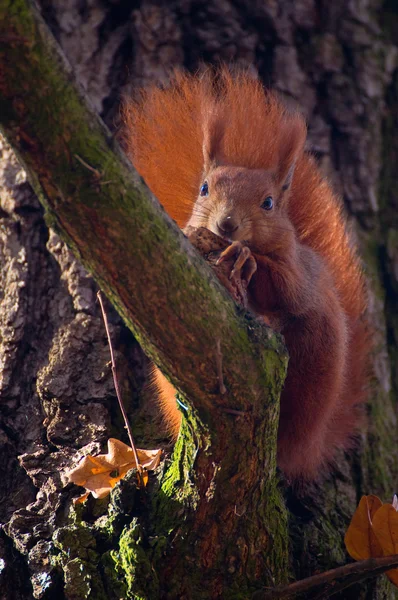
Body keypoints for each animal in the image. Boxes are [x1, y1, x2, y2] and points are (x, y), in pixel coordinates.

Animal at [125, 68, 370, 480]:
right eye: (204, 188)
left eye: (268, 203)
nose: (226, 225)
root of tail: (309, 448)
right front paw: (205, 243)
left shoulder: (297, 273)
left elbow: (286, 290)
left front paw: (247, 258)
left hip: (313, 360)